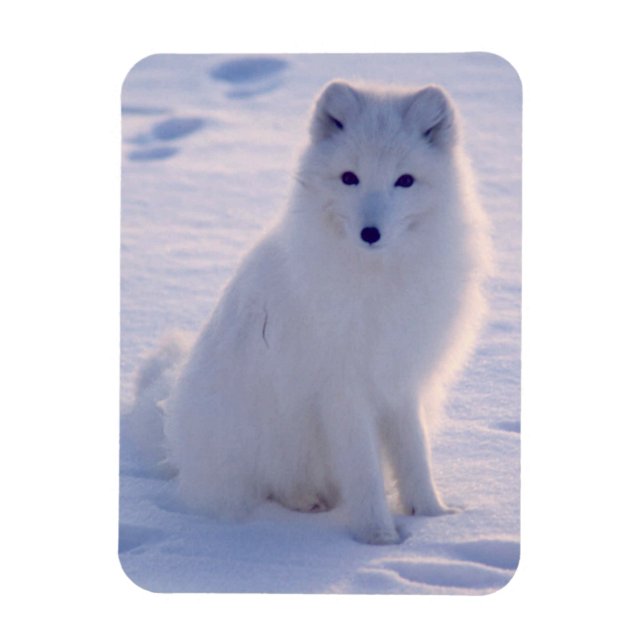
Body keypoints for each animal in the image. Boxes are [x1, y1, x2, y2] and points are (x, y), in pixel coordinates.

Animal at [128, 80, 492, 545]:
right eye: (350, 177)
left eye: (405, 181)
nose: (370, 232)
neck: (377, 278)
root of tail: (174, 436)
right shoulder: (342, 389)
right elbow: (364, 470)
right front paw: (379, 536)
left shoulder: (400, 379)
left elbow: (414, 454)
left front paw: (434, 517)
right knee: (267, 484)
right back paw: (303, 500)